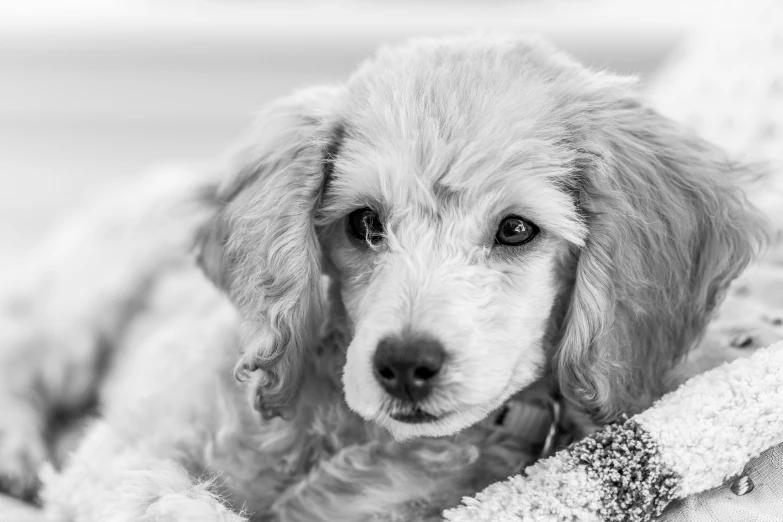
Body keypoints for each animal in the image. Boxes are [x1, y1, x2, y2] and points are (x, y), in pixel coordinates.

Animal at [0, 34, 772, 516]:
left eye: (516, 229)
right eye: (365, 224)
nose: (404, 364)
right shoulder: (128, 449)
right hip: (88, 294)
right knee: (26, 351)